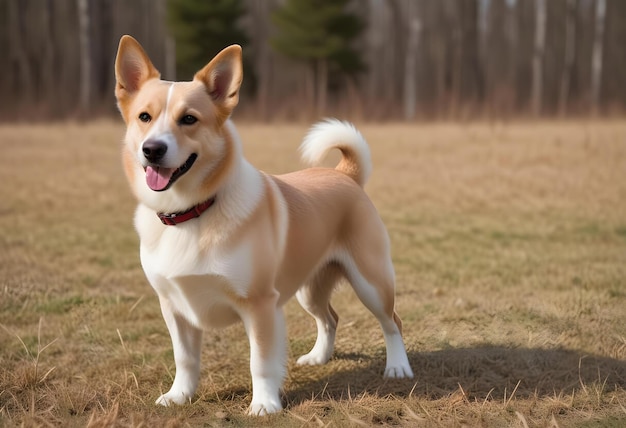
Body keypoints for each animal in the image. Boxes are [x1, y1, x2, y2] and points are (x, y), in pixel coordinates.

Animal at [114, 35, 412, 416]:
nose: (152, 149)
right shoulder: (174, 306)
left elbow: (261, 362)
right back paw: (319, 357)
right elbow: (185, 359)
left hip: (370, 282)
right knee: (329, 318)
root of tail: (345, 175)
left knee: (392, 322)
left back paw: (398, 367)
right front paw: (179, 396)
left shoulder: (259, 305)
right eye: (144, 117)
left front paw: (265, 405)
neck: (191, 212)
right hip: (308, 288)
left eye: (189, 119)